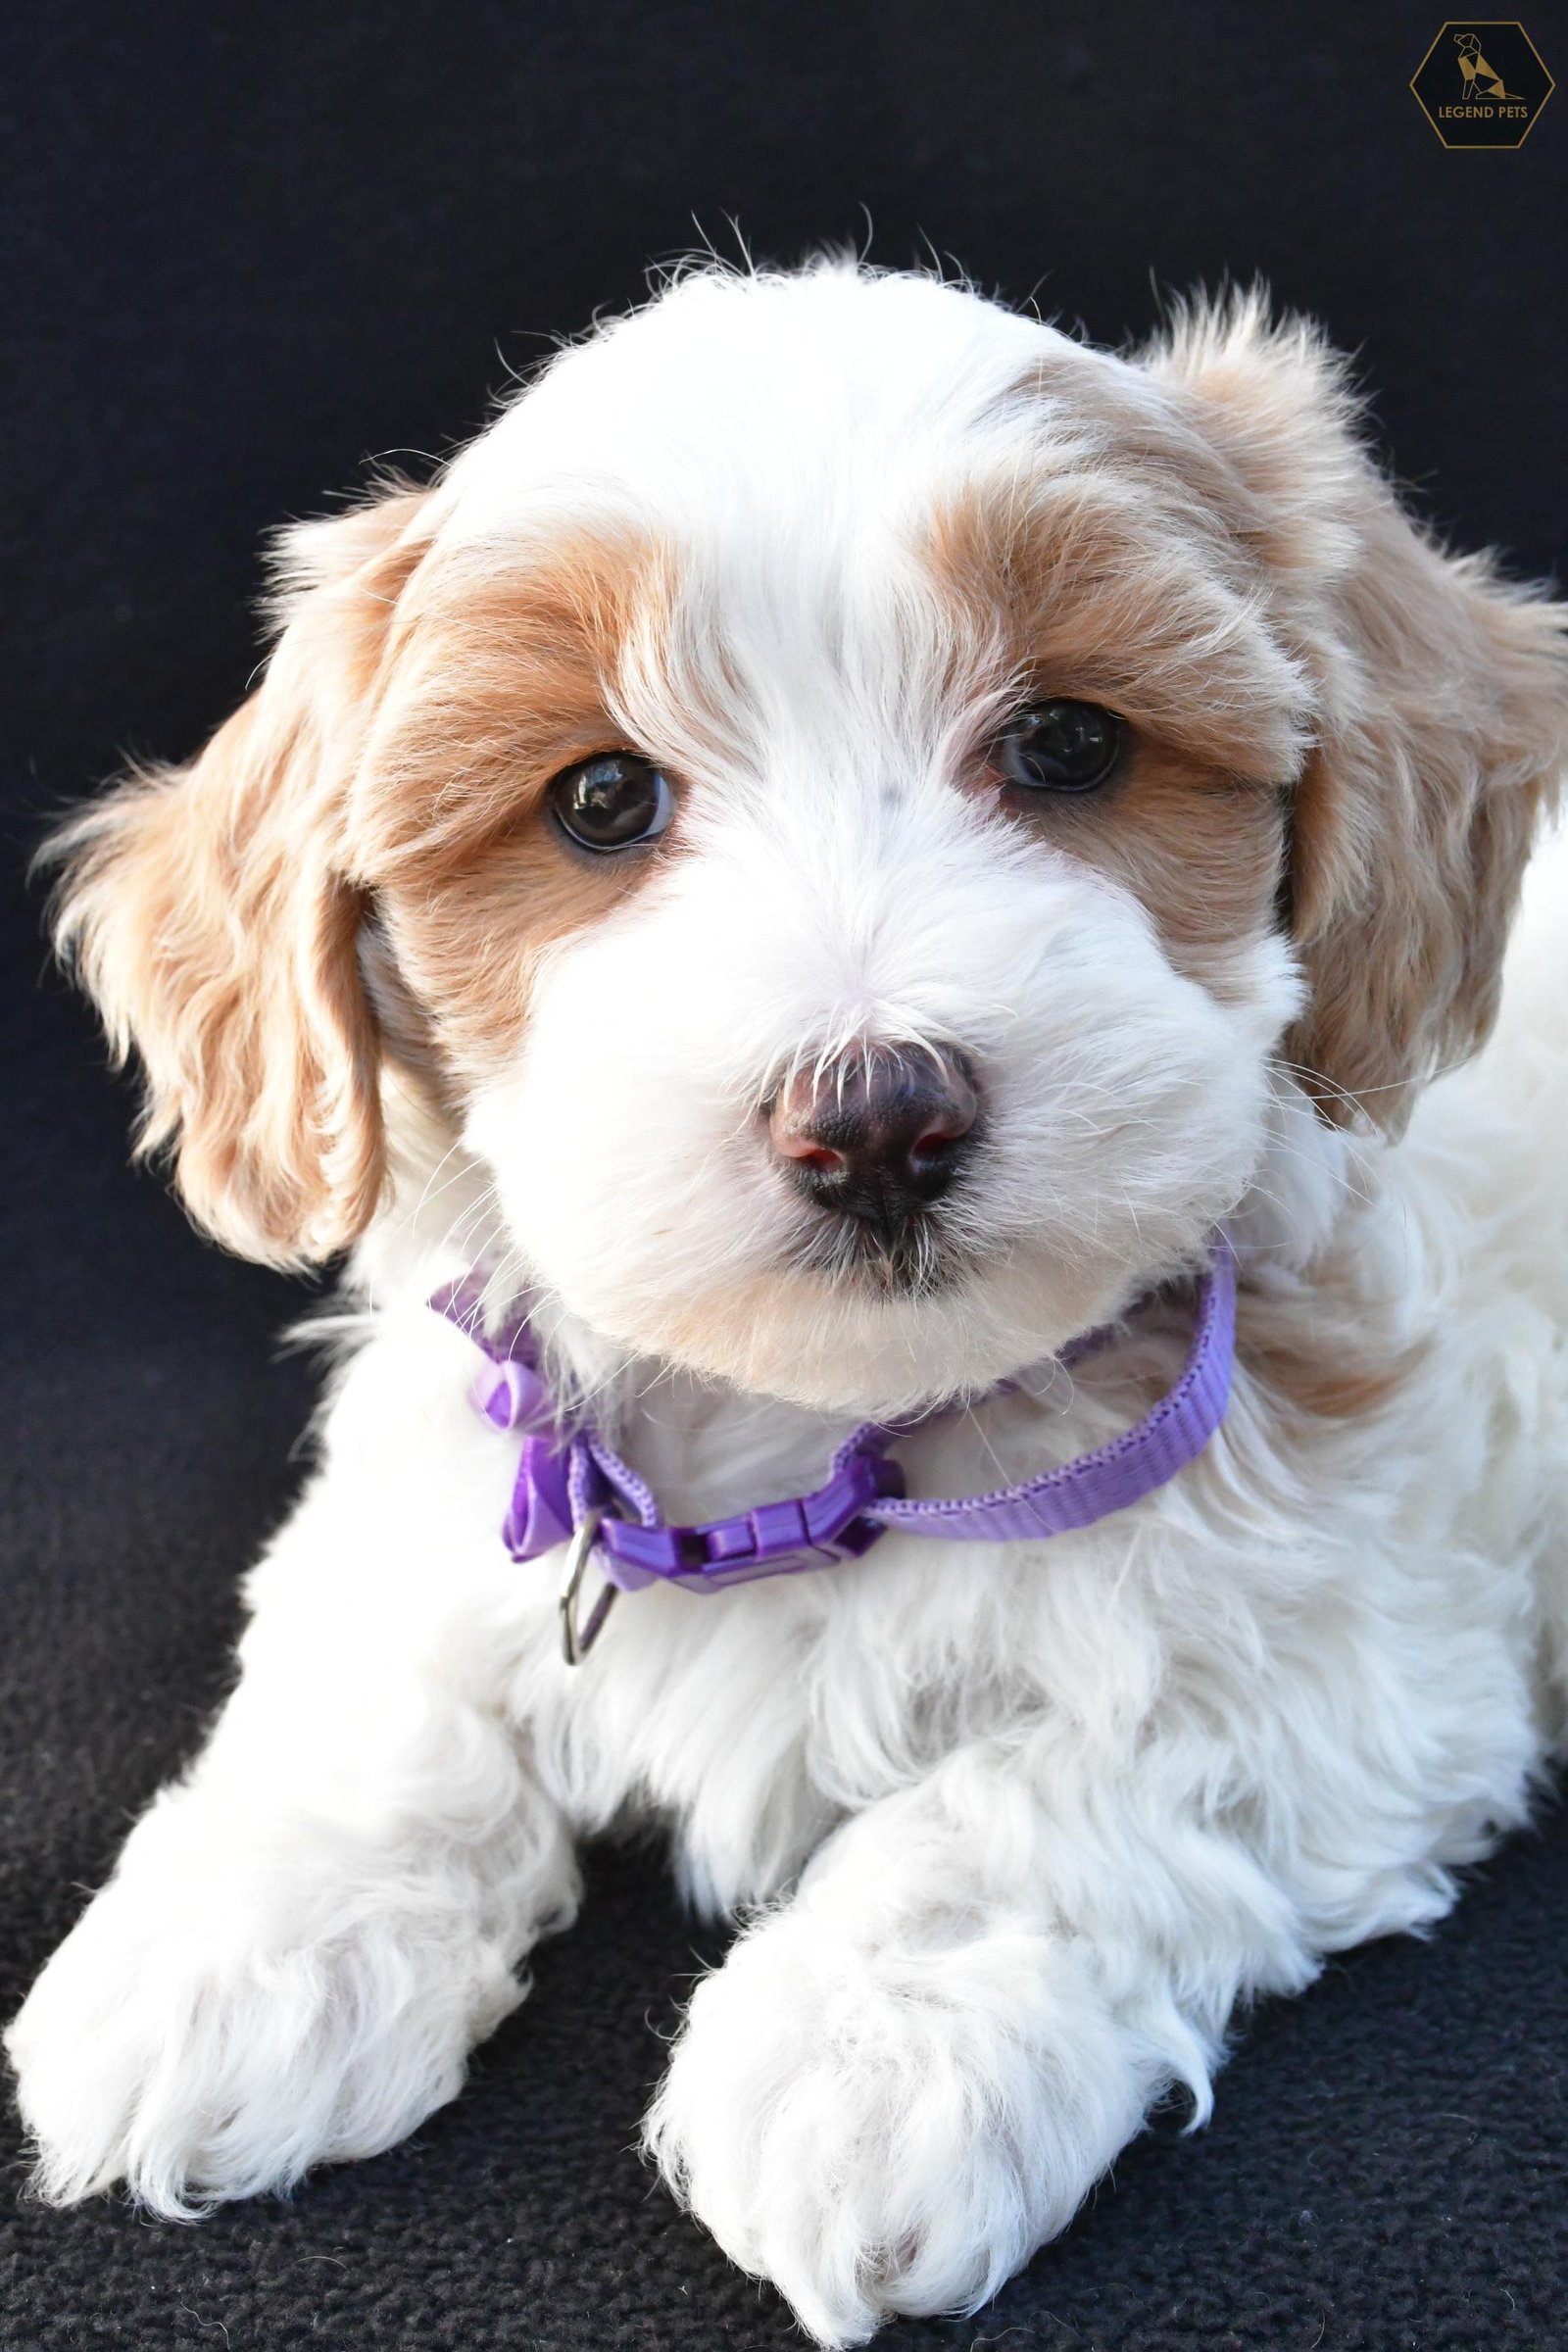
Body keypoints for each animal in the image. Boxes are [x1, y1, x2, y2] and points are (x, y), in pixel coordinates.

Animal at [9, 258, 1568, 2346]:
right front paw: (233, 1948)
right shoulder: (445, 1466)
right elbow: (374, 1671)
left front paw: (874, 2051)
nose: (879, 1117)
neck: (815, 1452)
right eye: (600, 798)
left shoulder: (1373, 1652)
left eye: (1067, 747)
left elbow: (1073, 1777)